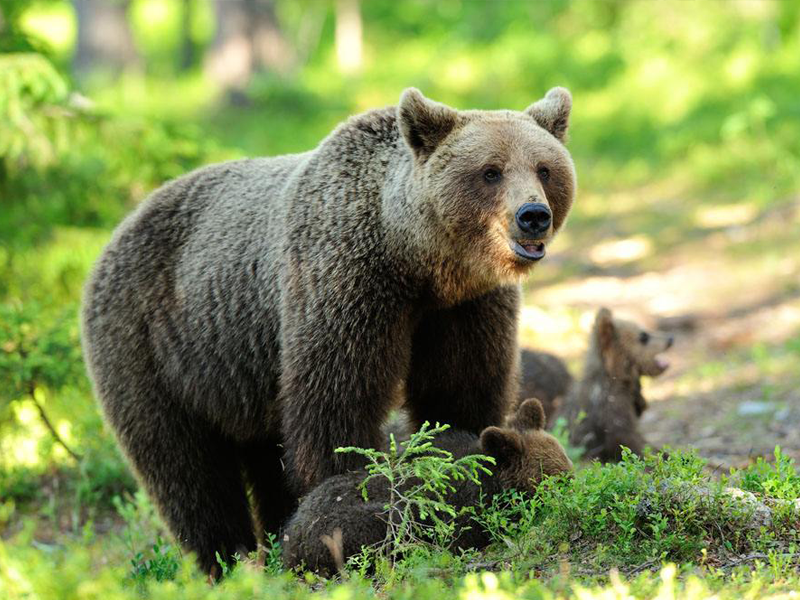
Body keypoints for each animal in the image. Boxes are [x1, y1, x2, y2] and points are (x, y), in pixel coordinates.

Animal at [83, 86, 576, 576]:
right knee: (186, 469)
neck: (416, 264)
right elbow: (335, 404)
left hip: (244, 379)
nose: (533, 215)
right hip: (156, 343)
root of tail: (117, 231)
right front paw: (345, 487)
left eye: (544, 168)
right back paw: (225, 560)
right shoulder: (343, 286)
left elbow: (459, 390)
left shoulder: (465, 309)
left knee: (260, 456)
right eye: (490, 171)